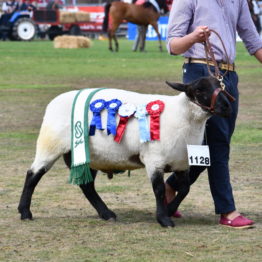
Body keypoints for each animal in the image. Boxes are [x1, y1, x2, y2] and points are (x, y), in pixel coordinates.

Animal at [17, 75, 232, 227]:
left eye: (220, 86)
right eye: (199, 89)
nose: (227, 106)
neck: (183, 117)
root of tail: (52, 103)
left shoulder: (182, 163)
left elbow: (185, 189)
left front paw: (170, 210)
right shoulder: (153, 159)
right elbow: (159, 189)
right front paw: (164, 219)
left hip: (89, 155)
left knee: (87, 186)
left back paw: (107, 214)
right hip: (50, 145)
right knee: (32, 175)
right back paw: (25, 212)